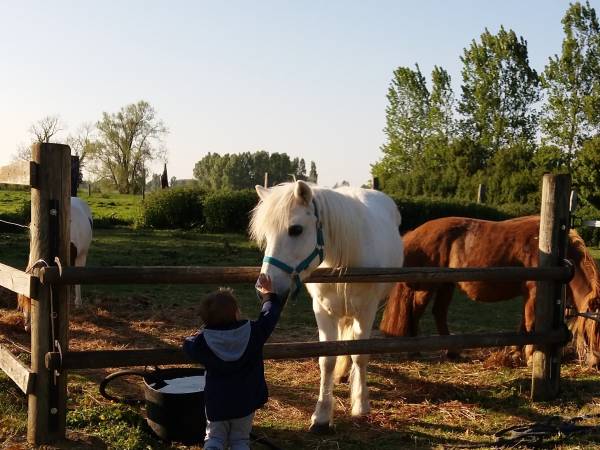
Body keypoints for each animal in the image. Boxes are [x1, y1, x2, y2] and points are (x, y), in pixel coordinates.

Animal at [250, 179, 404, 432]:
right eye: (267, 235)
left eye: (296, 230)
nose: (265, 285)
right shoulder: (323, 311)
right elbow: (327, 360)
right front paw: (322, 415)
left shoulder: (367, 311)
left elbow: (360, 355)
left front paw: (361, 405)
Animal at [380, 216, 600, 368]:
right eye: (595, 329)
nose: (596, 363)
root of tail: (412, 234)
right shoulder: (534, 292)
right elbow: (531, 325)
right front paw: (530, 357)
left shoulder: (527, 296)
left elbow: (522, 326)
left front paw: (515, 353)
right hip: (427, 288)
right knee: (416, 313)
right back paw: (414, 351)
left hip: (446, 285)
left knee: (439, 313)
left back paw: (453, 351)